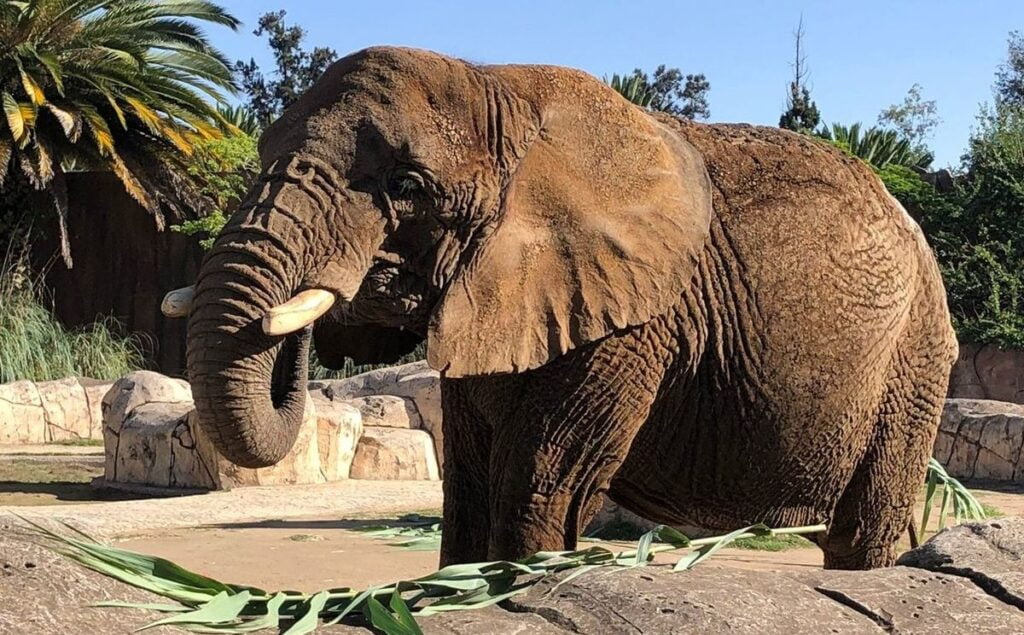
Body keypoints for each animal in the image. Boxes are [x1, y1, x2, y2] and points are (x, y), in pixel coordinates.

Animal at [164, 46, 958, 570]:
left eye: (409, 186)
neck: (497, 88)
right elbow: (469, 496)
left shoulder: (632, 325)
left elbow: (542, 488)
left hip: (912, 359)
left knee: (864, 525)